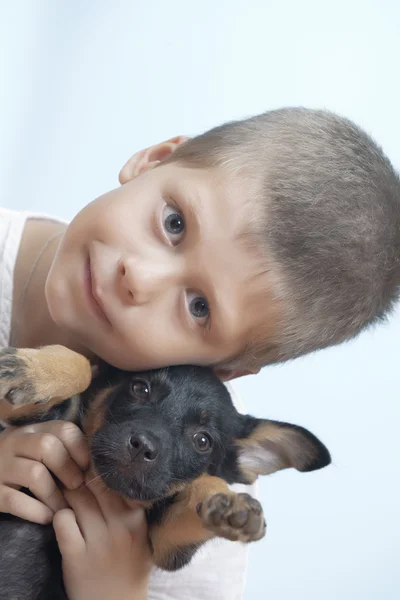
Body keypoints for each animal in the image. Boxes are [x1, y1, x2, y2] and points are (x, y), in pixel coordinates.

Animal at [0, 344, 332, 596]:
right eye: (139, 388)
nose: (142, 446)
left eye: (202, 441)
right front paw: (35, 370)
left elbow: (196, 499)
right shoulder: (38, 419)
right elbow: (81, 363)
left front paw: (229, 503)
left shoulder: (166, 544)